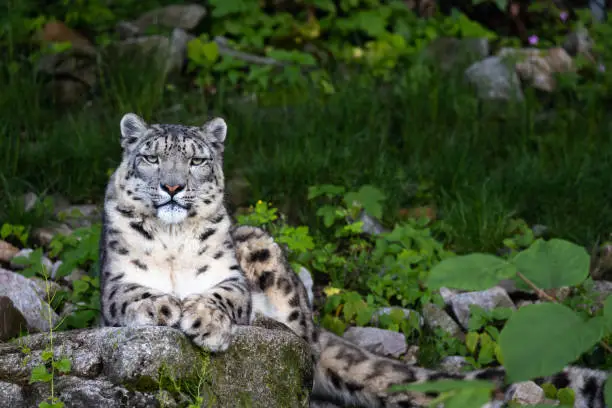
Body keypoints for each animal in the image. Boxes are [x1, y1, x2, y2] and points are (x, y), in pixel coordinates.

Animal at [100, 113, 608, 406]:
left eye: (196, 161)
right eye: (151, 157)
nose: (172, 187)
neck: (173, 241)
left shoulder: (231, 277)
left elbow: (225, 294)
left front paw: (204, 321)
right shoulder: (113, 283)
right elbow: (131, 294)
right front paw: (164, 306)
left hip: (262, 250)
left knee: (303, 349)